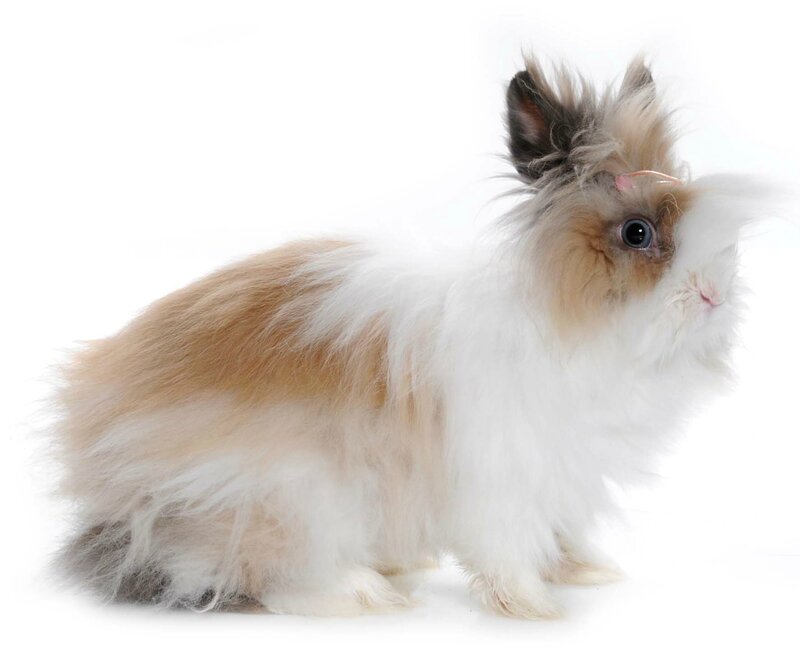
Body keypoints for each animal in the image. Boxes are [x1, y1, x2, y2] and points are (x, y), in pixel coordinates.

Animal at [53, 55, 761, 619]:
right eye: (637, 233)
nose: (714, 294)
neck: (567, 315)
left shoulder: (562, 474)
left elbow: (560, 531)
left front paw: (586, 572)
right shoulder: (501, 473)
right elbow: (506, 546)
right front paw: (534, 607)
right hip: (289, 498)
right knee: (255, 575)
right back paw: (366, 592)